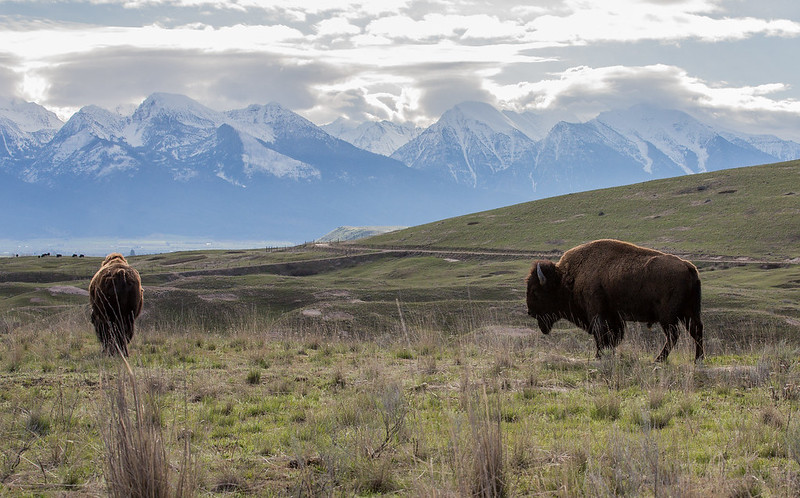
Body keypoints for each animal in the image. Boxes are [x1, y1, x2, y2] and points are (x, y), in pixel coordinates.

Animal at [528, 238, 704, 362]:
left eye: (535, 291)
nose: (530, 312)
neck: (567, 278)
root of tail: (688, 266)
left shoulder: (597, 313)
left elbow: (601, 334)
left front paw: (599, 356)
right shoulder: (614, 317)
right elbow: (613, 336)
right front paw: (608, 354)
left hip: (668, 316)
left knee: (674, 335)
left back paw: (659, 359)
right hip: (689, 312)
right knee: (696, 330)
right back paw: (698, 359)